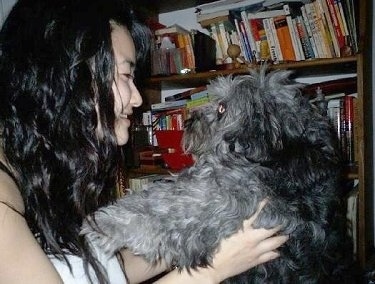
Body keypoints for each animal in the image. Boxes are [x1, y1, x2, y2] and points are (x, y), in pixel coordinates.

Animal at [81, 67, 356, 282]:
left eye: (222, 108)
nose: (189, 121)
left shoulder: (218, 212)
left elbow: (167, 215)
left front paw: (108, 224)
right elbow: (160, 195)